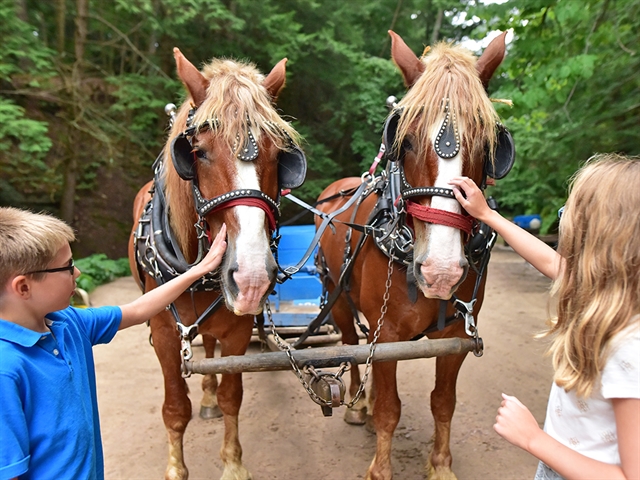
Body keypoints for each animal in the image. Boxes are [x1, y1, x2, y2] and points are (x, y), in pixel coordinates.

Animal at [128, 47, 304, 478]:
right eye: (198, 152)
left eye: (280, 155)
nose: (253, 279)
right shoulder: (165, 334)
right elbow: (175, 408)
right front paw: (176, 468)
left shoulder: (238, 332)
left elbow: (231, 395)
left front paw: (233, 463)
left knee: (209, 348)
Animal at [316, 31, 510, 480]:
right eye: (403, 140)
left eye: (489, 144)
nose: (440, 272)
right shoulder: (387, 335)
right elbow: (391, 408)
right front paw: (380, 466)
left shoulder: (456, 339)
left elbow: (443, 402)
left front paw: (440, 465)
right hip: (337, 296)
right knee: (351, 346)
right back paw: (359, 406)